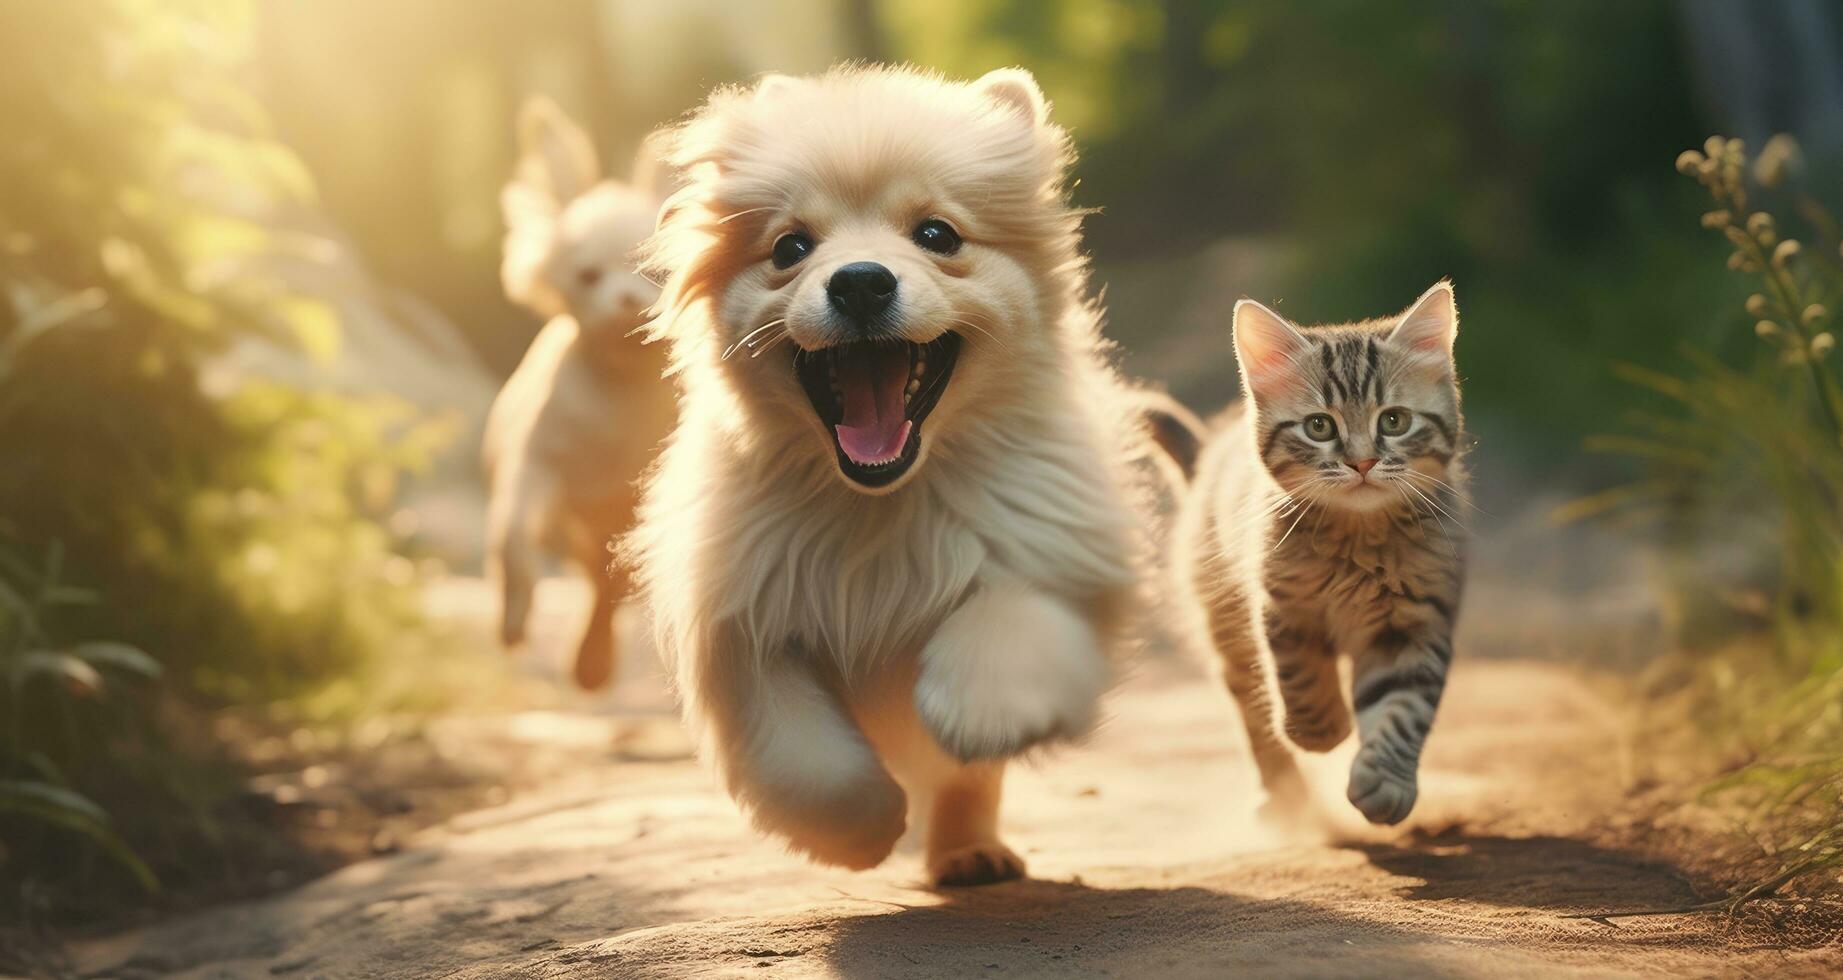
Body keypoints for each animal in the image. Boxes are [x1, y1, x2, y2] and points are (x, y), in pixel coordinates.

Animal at [482, 95, 678, 685]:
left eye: (655, 273)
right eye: (589, 276)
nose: (627, 299)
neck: (620, 381)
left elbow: (615, 584)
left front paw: (592, 654)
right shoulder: (536, 466)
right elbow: (513, 541)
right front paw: (513, 621)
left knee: (605, 584)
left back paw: (593, 661)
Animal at [626, 64, 1157, 884]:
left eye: (936, 235)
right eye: (790, 246)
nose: (860, 282)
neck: (881, 499)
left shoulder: (1050, 556)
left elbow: (1008, 625)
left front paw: (981, 709)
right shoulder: (746, 627)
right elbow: (808, 765)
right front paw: (861, 830)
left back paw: (969, 851)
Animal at [1179, 283, 1467, 825]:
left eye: (1394, 420)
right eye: (1319, 427)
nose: (1362, 462)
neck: (1358, 540)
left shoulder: (1414, 621)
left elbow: (1403, 707)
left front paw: (1386, 781)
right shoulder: (1281, 604)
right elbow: (1298, 673)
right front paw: (1320, 731)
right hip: (1224, 622)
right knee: (1251, 705)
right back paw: (1285, 795)